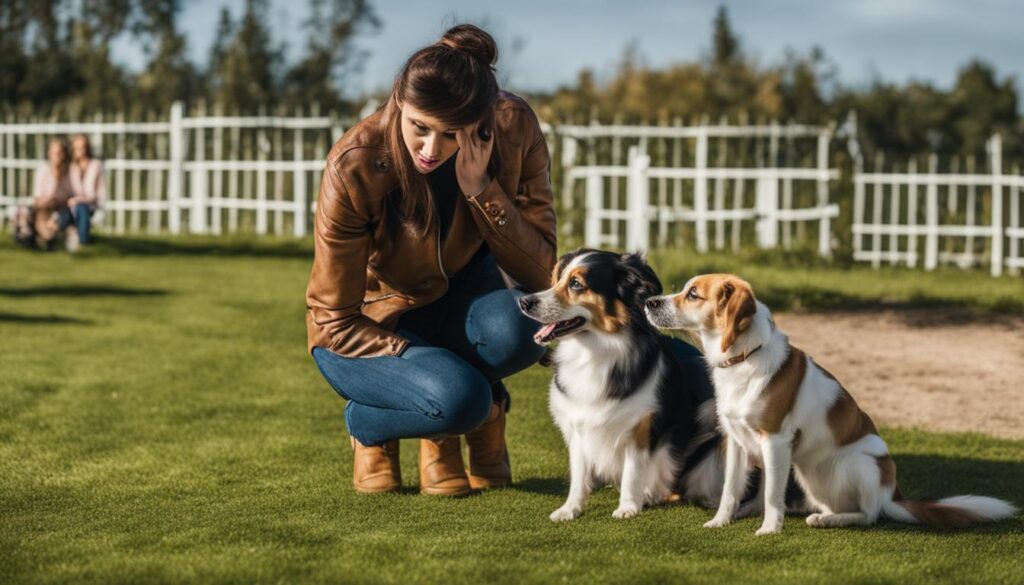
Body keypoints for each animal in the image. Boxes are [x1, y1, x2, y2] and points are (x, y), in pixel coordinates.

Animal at [520, 251, 729, 522]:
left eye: (576, 284)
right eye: (556, 279)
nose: (524, 302)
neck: (595, 349)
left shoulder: (639, 427)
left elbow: (633, 470)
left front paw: (628, 507)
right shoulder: (578, 425)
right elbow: (578, 474)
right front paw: (570, 509)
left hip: (709, 417)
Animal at [647, 274, 1015, 536]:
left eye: (693, 294)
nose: (650, 301)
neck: (744, 358)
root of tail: (892, 494)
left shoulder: (775, 441)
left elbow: (772, 495)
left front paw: (769, 530)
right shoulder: (737, 442)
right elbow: (730, 491)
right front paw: (721, 522)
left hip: (860, 463)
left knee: (869, 515)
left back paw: (830, 521)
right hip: (809, 475)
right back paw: (820, 515)